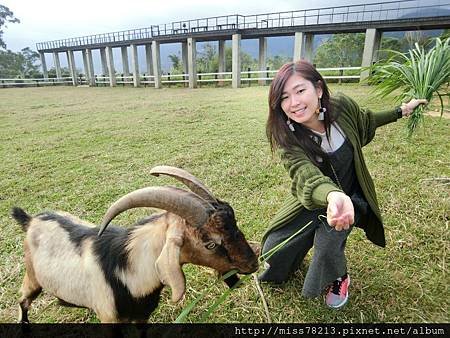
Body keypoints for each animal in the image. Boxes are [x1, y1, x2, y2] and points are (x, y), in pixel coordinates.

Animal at [12, 166, 258, 322]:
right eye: (210, 244)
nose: (253, 263)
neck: (127, 271)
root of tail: (30, 220)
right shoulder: (109, 319)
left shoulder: (141, 317)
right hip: (32, 276)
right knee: (23, 300)